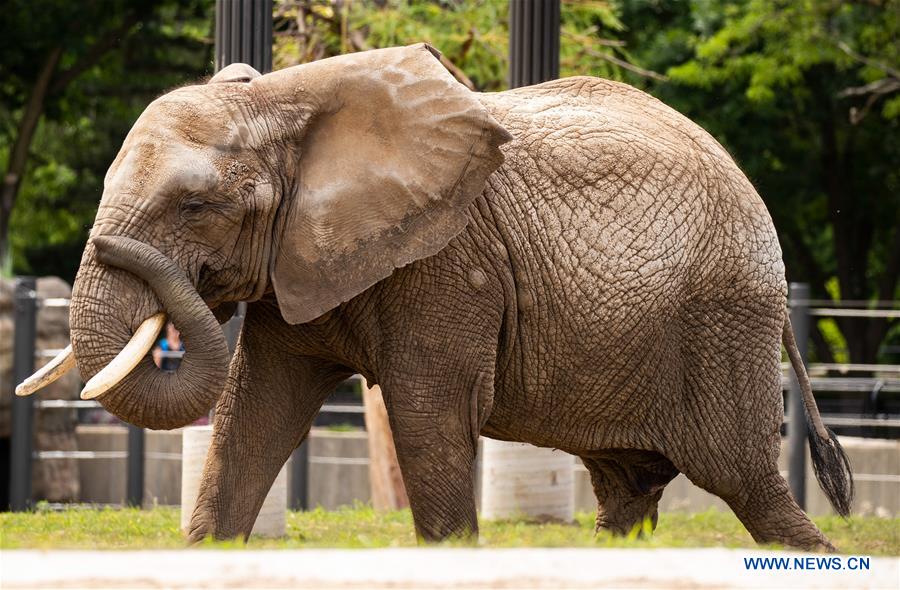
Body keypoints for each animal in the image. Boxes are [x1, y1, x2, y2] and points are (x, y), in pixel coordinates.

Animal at [18, 44, 852, 551]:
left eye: (194, 207)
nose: (105, 247)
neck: (288, 100)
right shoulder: (304, 257)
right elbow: (255, 414)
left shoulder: (447, 258)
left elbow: (429, 415)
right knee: (628, 490)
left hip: (721, 319)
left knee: (746, 483)